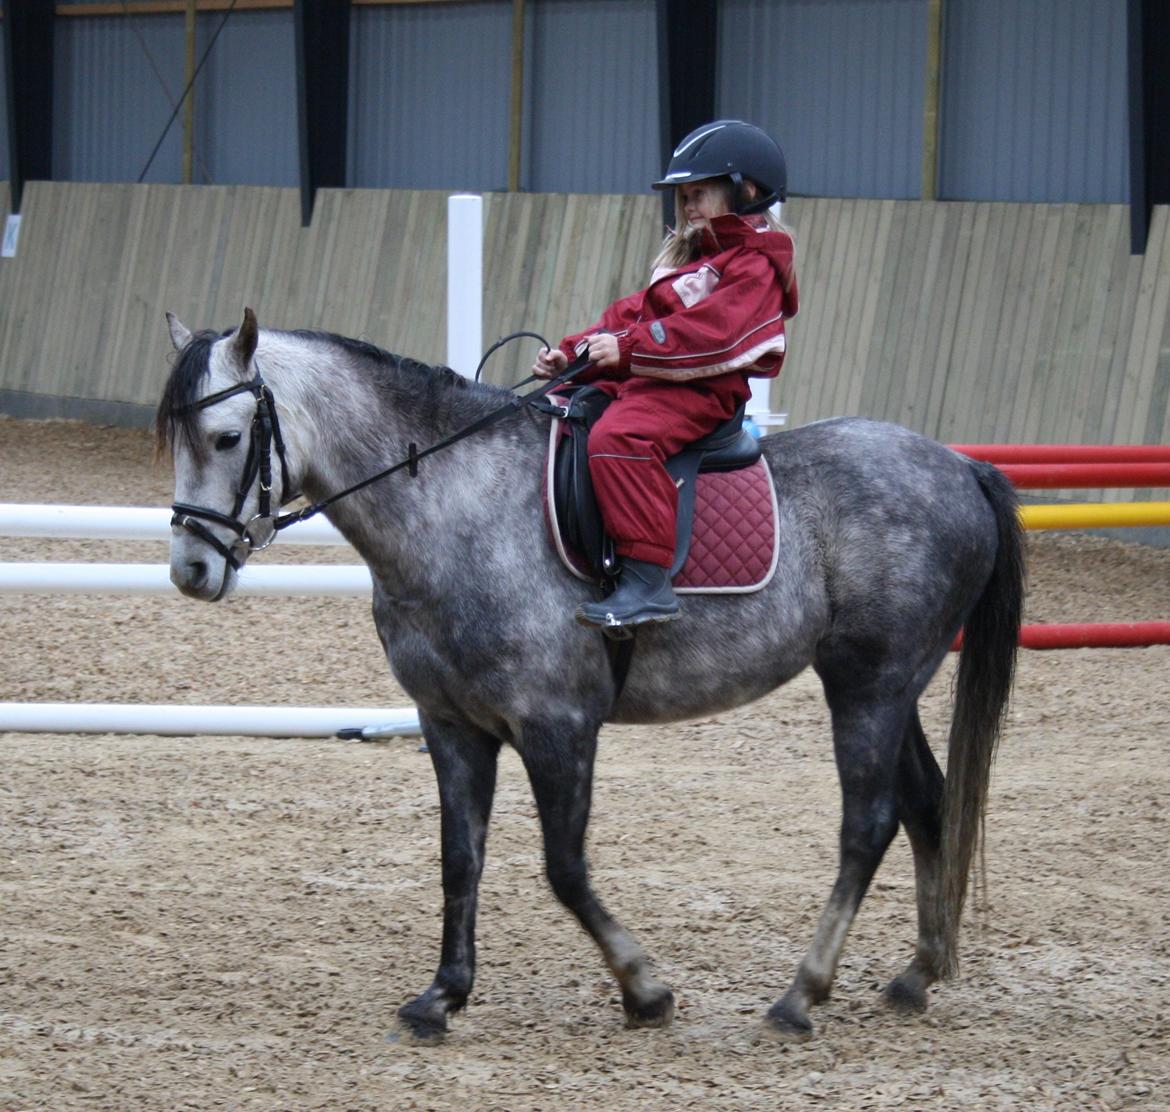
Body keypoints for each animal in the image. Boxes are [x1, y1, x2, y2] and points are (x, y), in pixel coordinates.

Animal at [156, 308, 1024, 1043]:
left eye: (227, 438)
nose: (191, 570)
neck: (460, 505)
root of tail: (958, 465)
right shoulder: (452, 726)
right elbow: (459, 858)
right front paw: (443, 995)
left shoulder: (558, 726)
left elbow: (564, 869)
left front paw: (644, 989)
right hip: (888, 687)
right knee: (928, 803)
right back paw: (918, 973)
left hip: (868, 687)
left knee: (868, 824)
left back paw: (800, 996)